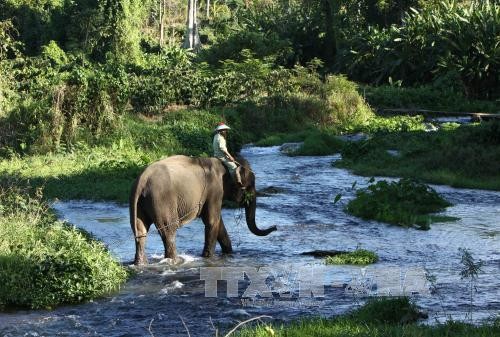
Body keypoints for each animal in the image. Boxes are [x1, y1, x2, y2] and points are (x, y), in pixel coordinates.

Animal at [129, 154, 278, 264]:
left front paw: (229, 254)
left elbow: (219, 223)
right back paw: (175, 261)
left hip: (138, 203)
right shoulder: (215, 190)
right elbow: (212, 221)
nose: (275, 227)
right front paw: (208, 257)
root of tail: (142, 180)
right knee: (168, 232)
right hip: (161, 200)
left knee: (140, 231)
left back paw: (141, 264)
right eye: (250, 185)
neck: (223, 163)